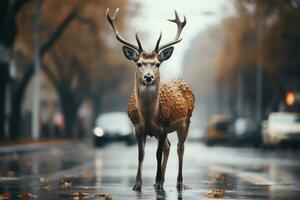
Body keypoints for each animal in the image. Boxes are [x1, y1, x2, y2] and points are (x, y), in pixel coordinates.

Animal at [106, 8, 196, 192]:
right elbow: (141, 154)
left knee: (180, 147)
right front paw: (137, 184)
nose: (148, 77)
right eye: (139, 63)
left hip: (186, 121)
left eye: (157, 64)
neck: (149, 117)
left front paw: (160, 182)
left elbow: (157, 153)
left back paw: (178, 182)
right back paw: (157, 183)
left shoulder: (164, 126)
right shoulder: (137, 127)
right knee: (169, 147)